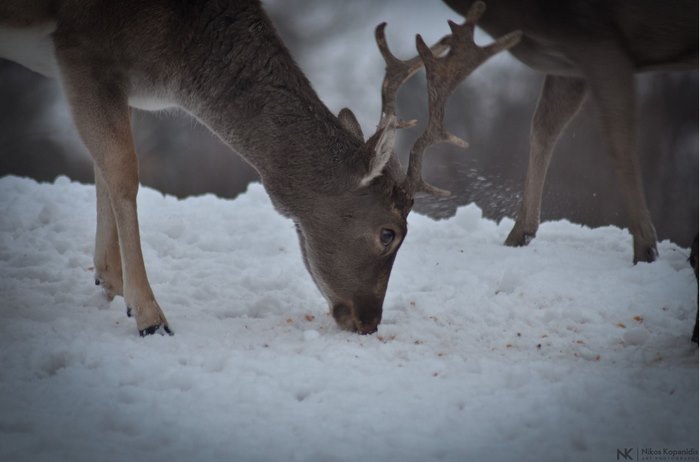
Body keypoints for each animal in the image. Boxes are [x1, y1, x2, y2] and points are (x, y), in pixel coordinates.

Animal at [0, 0, 516, 334]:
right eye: (389, 233)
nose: (369, 321)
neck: (176, 57)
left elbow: (102, 169)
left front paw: (108, 284)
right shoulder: (83, 45)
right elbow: (122, 170)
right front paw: (147, 314)